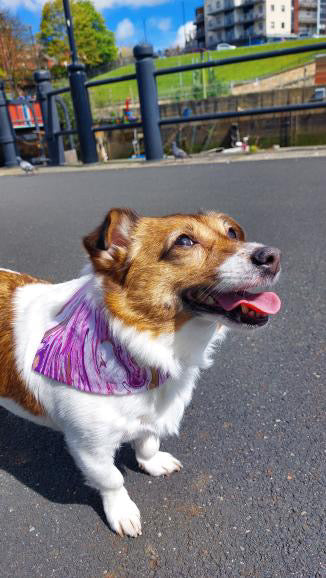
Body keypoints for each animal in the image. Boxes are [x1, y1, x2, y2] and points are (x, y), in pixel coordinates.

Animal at [0, 207, 280, 536]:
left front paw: (154, 463)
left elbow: (147, 443)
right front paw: (122, 512)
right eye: (184, 241)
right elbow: (112, 479)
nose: (273, 256)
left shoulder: (149, 421)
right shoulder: (89, 446)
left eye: (232, 232)